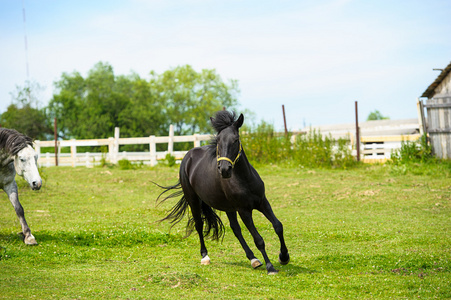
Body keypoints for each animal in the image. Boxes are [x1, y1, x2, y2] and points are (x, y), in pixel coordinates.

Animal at [156, 110, 290, 274]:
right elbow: (258, 239)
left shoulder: (262, 202)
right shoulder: (244, 210)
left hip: (228, 207)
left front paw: (284, 257)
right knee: (199, 225)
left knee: (235, 229)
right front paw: (270, 267)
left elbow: (278, 226)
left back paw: (253, 259)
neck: (245, 180)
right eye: (218, 140)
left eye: (236, 139)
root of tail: (188, 157)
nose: (225, 169)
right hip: (193, 200)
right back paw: (205, 257)